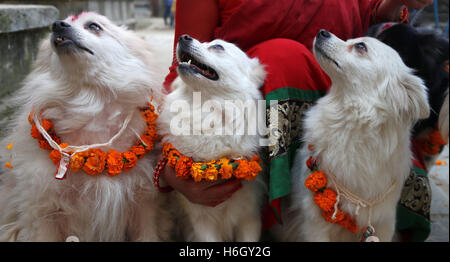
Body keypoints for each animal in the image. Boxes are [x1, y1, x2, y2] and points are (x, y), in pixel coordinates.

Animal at [0, 12, 171, 242]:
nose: (57, 25)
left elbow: (147, 234)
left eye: (94, 26)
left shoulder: (144, 204)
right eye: (56, 25)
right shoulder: (44, 211)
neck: (89, 99)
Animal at [276, 30, 430, 242]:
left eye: (360, 47)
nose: (322, 32)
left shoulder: (383, 224)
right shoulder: (315, 225)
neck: (353, 120)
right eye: (349, 39)